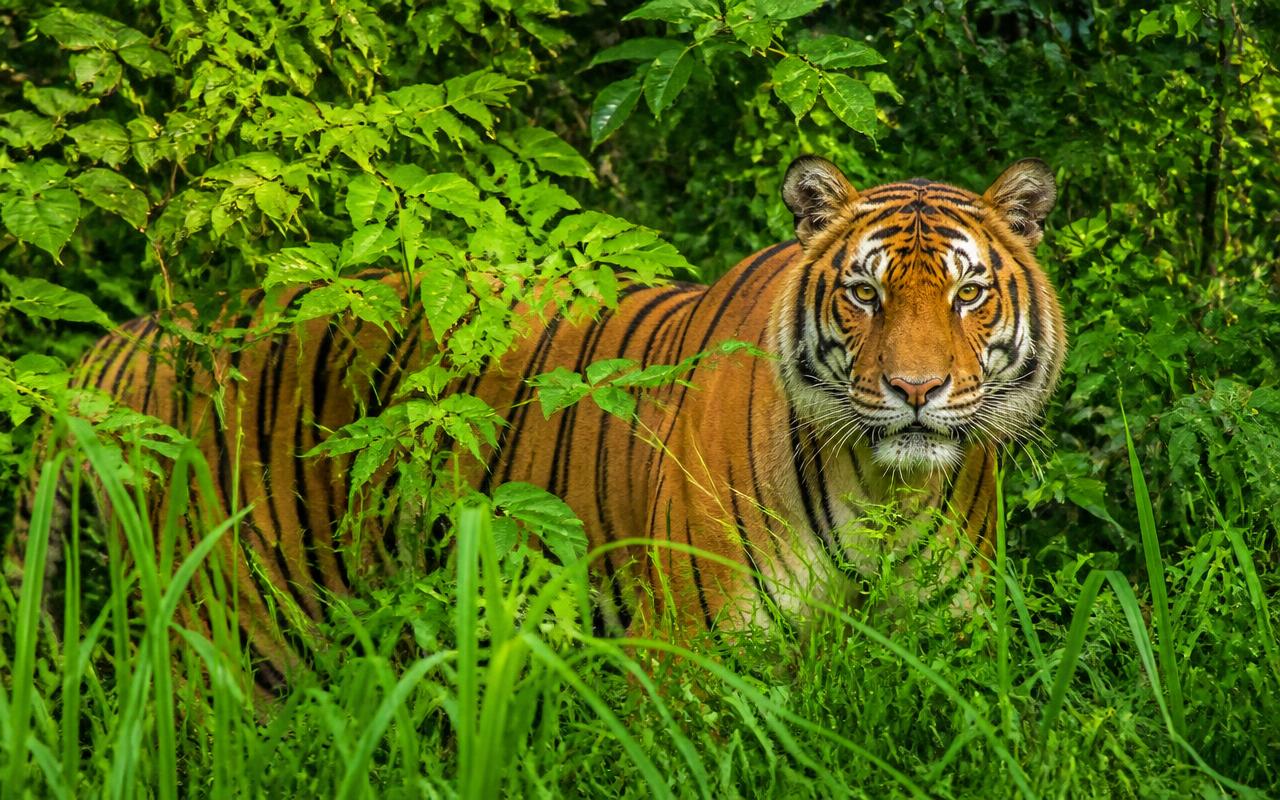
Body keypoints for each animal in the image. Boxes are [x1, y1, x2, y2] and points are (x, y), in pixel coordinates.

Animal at [7, 155, 1065, 692]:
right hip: (235, 633)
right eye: (863, 294)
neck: (884, 489)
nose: (916, 390)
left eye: (969, 295)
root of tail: (165, 328)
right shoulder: (691, 658)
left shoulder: (955, 650)